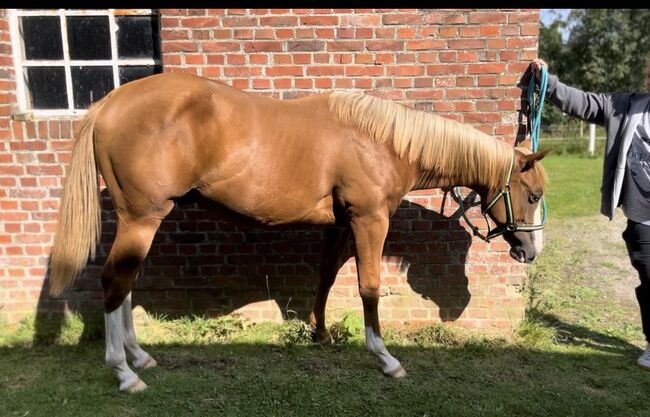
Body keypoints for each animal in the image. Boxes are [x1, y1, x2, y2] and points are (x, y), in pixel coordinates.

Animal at [49, 72, 548, 394]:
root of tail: (109, 104)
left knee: (126, 285)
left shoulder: (342, 225)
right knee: (115, 283)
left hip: (143, 221)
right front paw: (385, 359)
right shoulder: (370, 220)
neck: (382, 141)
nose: (529, 251)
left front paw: (320, 334)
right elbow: (369, 287)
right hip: (141, 218)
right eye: (532, 194)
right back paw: (124, 372)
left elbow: (326, 278)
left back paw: (139, 356)